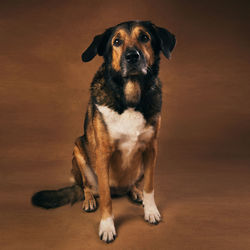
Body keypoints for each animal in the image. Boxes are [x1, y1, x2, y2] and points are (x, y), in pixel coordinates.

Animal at [31, 20, 176, 243]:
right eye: (117, 42)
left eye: (144, 37)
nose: (132, 56)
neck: (129, 99)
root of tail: (120, 189)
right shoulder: (103, 154)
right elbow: (106, 196)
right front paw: (107, 226)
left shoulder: (151, 148)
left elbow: (150, 186)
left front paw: (151, 211)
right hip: (78, 150)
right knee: (86, 187)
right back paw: (89, 200)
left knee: (134, 184)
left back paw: (135, 192)